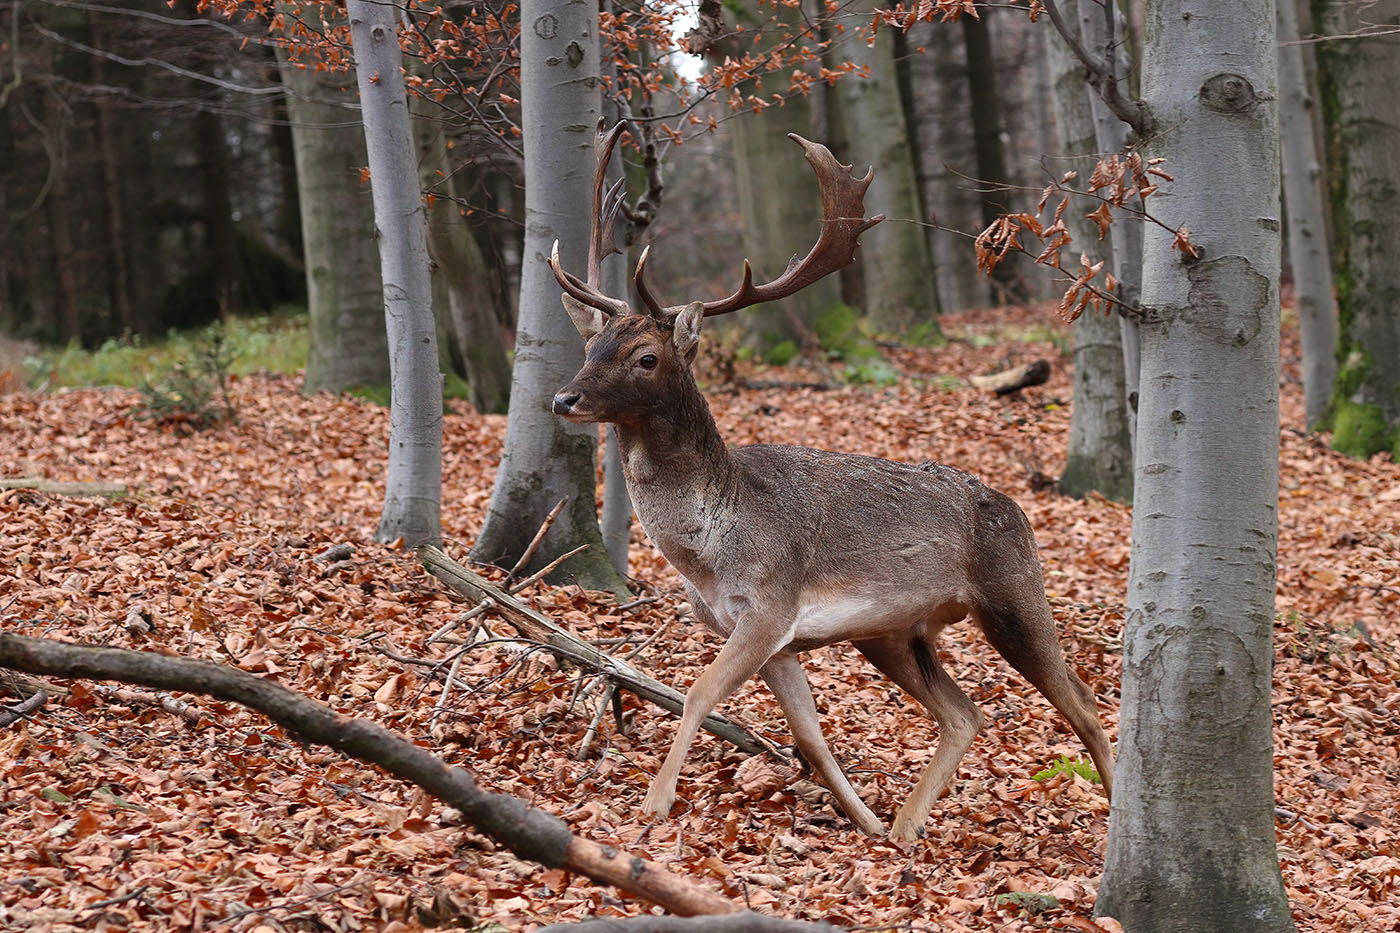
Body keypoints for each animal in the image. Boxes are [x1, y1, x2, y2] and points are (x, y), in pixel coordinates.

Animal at [546, 119, 1114, 840]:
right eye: (591, 346)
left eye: (646, 357)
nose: (563, 398)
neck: (707, 548)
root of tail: (1016, 508)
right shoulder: (770, 635)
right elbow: (810, 735)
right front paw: (865, 822)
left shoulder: (769, 604)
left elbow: (699, 691)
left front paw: (653, 806)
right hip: (894, 632)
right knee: (965, 713)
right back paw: (903, 829)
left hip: (1013, 592)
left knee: (1083, 701)